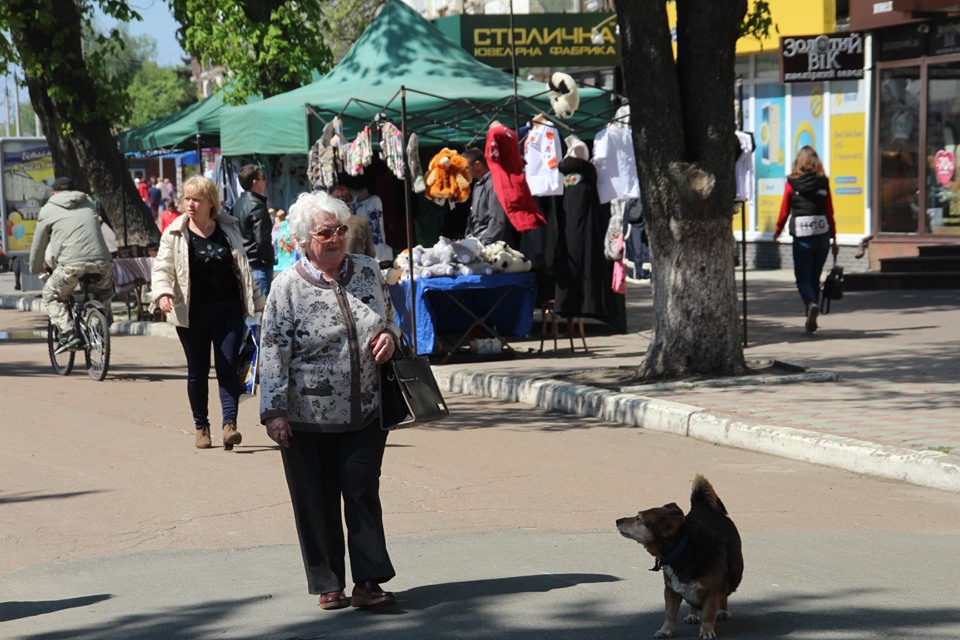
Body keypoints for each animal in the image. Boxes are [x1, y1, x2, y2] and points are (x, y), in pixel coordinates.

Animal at [616, 476, 744, 640]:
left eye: (638, 518)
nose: (617, 520)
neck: (682, 547)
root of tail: (702, 505)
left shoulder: (712, 592)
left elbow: (708, 614)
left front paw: (706, 631)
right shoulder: (671, 590)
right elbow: (670, 613)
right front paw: (666, 630)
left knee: (724, 596)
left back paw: (724, 611)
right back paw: (692, 615)